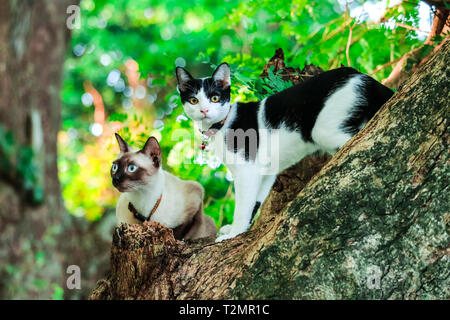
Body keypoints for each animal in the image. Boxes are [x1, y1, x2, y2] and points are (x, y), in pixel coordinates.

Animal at [176, 62, 394, 241]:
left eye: (214, 98)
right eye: (194, 100)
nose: (204, 110)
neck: (222, 125)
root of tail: (362, 76)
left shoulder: (247, 170)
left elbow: (243, 206)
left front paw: (233, 233)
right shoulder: (265, 172)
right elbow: (255, 202)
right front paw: (239, 230)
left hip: (324, 129)